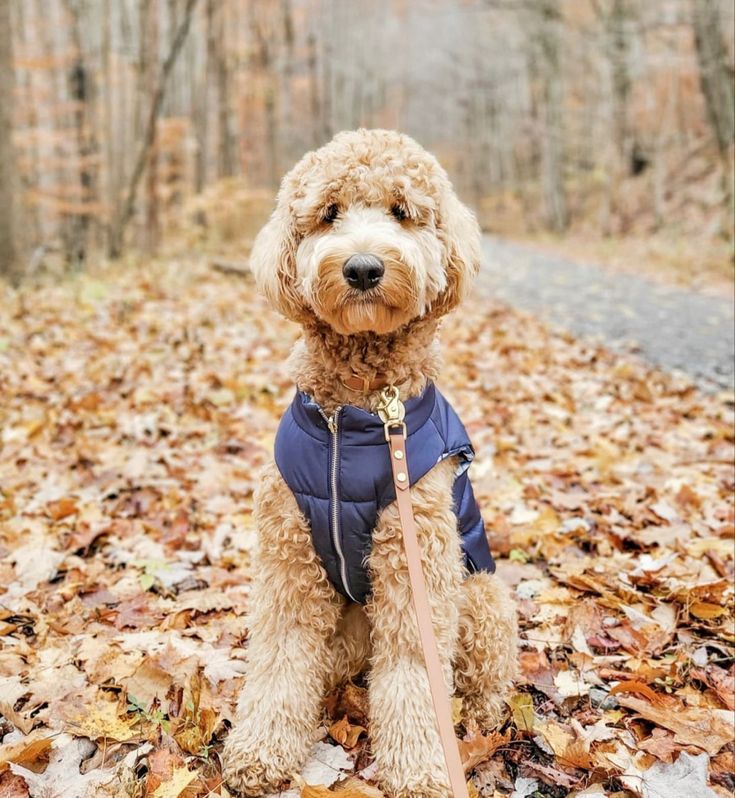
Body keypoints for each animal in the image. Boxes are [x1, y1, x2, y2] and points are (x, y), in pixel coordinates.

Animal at [223, 128, 516, 796]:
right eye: (330, 212)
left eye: (401, 212)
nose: (362, 268)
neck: (358, 415)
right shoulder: (286, 556)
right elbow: (281, 653)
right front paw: (261, 750)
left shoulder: (416, 562)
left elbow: (413, 670)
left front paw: (421, 768)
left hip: (481, 594)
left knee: (482, 675)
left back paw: (483, 712)